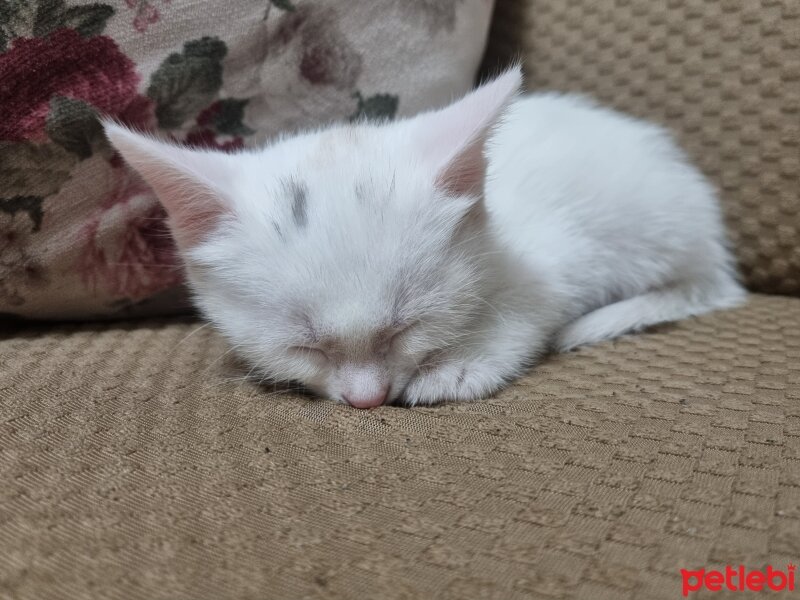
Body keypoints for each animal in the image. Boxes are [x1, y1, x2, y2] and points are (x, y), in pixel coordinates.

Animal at [103, 68, 748, 410]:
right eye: (304, 346)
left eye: (405, 328)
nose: (367, 400)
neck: (492, 234)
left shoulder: (552, 259)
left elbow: (526, 309)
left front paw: (458, 364)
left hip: (661, 233)